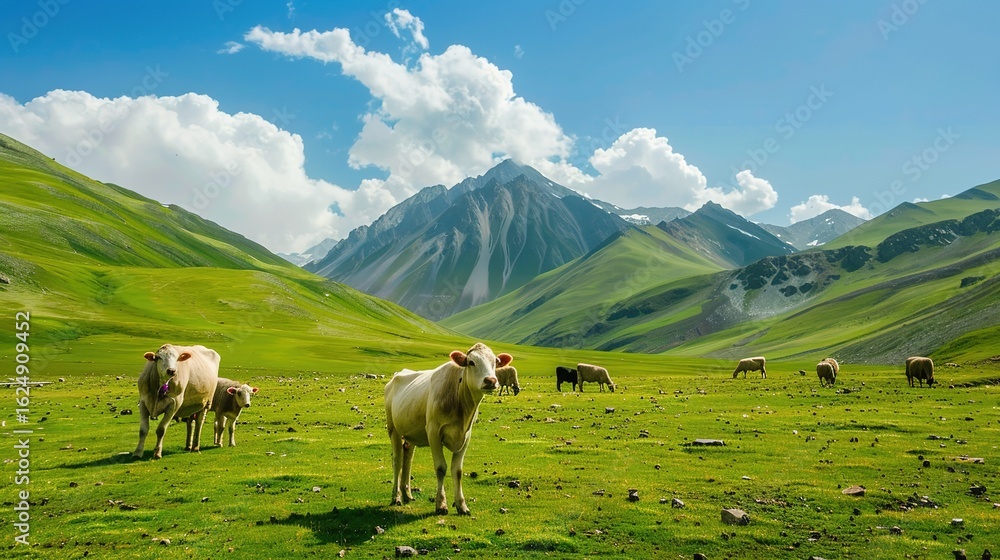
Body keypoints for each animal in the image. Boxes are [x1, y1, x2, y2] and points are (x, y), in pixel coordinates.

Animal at [384, 343, 513, 515]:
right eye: (471, 362)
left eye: (495, 362)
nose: (491, 380)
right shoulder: (433, 432)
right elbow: (441, 468)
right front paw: (441, 504)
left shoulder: (466, 436)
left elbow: (457, 471)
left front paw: (462, 505)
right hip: (394, 429)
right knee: (397, 460)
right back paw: (396, 496)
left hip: (410, 432)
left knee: (408, 458)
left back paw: (407, 495)